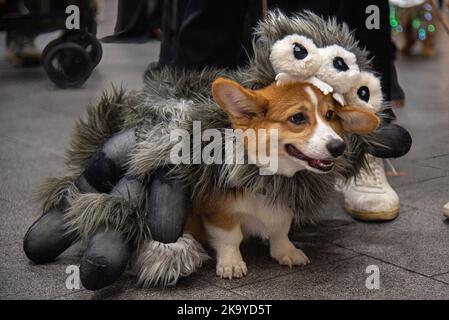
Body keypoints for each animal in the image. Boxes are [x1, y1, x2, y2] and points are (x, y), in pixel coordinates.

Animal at [185, 78, 378, 280]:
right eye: (298, 117)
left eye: (330, 115)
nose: (339, 147)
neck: (268, 177)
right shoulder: (218, 210)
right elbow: (230, 237)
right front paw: (231, 263)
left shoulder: (285, 206)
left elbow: (280, 230)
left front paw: (286, 252)